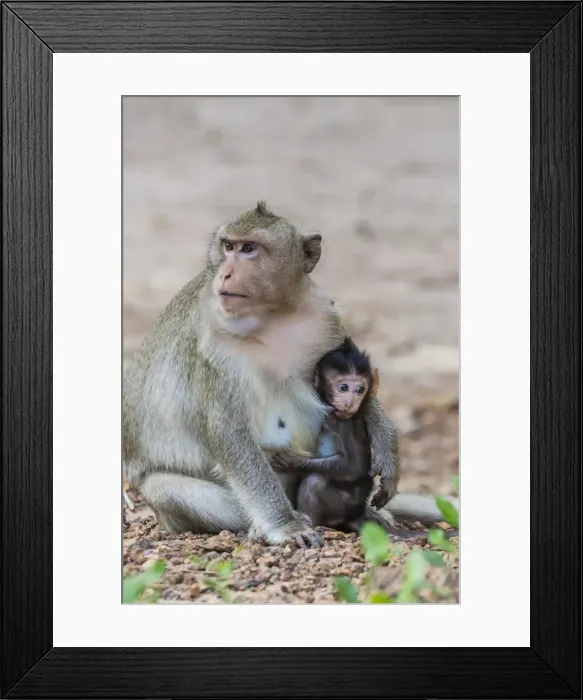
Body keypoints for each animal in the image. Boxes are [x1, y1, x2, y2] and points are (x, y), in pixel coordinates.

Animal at [123, 201, 443, 548]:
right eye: (228, 246)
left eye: (249, 249)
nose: (226, 273)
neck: (271, 316)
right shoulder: (212, 349)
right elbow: (229, 433)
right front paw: (285, 526)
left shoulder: (324, 317)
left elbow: (360, 378)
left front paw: (387, 447)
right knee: (166, 487)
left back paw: (366, 514)